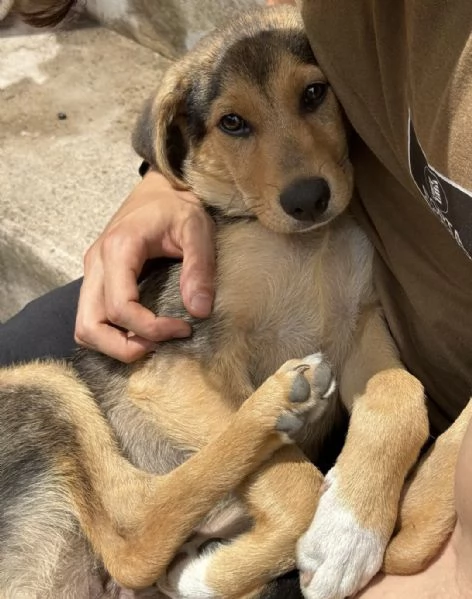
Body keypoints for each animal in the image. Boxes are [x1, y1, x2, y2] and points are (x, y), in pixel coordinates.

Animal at [0, 4, 458, 599]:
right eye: (232, 123)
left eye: (314, 93)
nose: (308, 200)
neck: (301, 246)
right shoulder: (172, 366)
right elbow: (297, 486)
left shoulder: (357, 328)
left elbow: (400, 393)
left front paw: (351, 530)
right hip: (42, 380)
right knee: (134, 533)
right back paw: (272, 411)